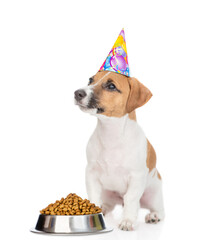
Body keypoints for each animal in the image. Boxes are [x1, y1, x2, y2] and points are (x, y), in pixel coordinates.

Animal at [74, 71, 165, 231]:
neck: (111, 133)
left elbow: (131, 198)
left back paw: (154, 216)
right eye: (90, 80)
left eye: (111, 86)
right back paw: (103, 208)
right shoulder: (91, 173)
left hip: (152, 194)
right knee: (109, 204)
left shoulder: (136, 177)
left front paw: (127, 220)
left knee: (160, 210)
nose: (77, 93)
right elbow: (93, 196)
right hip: (107, 192)